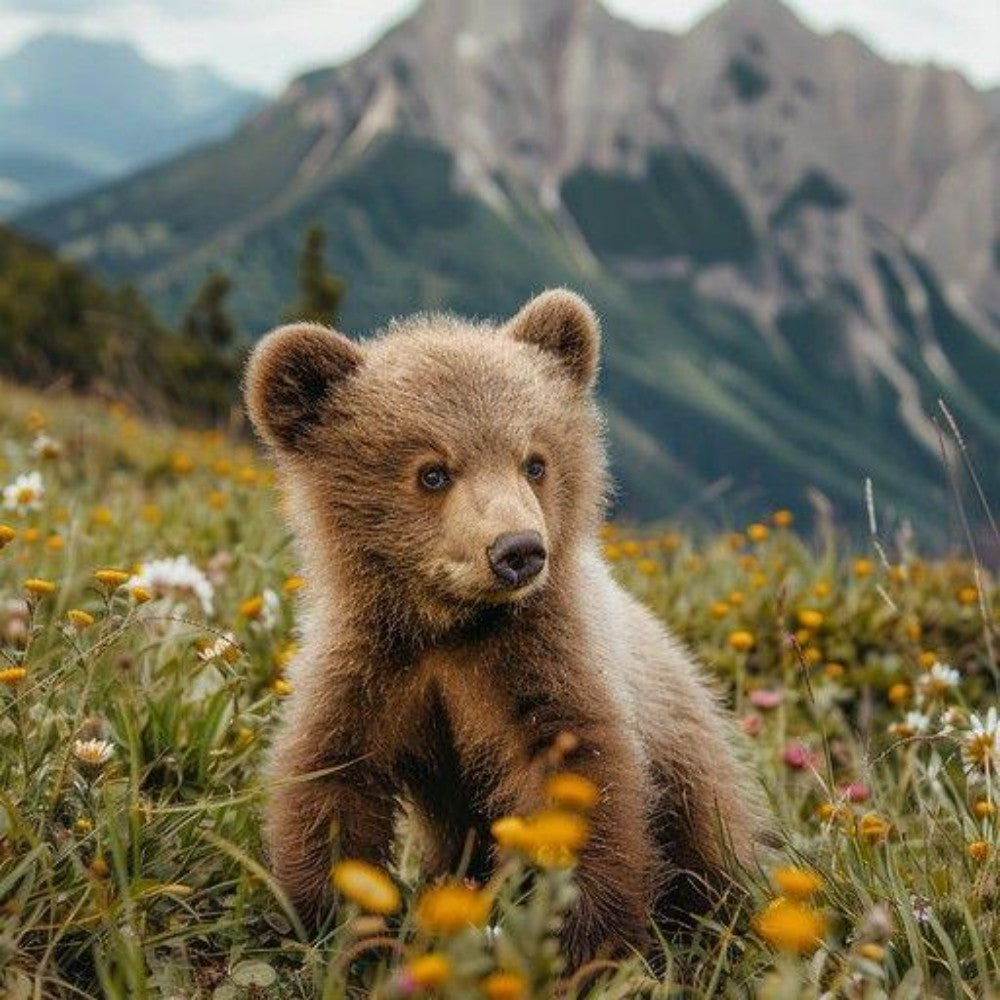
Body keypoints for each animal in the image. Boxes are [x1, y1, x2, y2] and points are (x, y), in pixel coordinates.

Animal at [244, 289, 763, 966]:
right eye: (433, 471)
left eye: (535, 462)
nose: (518, 550)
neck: (450, 624)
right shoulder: (372, 668)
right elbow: (332, 780)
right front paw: (337, 924)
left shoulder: (540, 664)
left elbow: (580, 781)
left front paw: (583, 940)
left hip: (690, 760)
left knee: (710, 848)